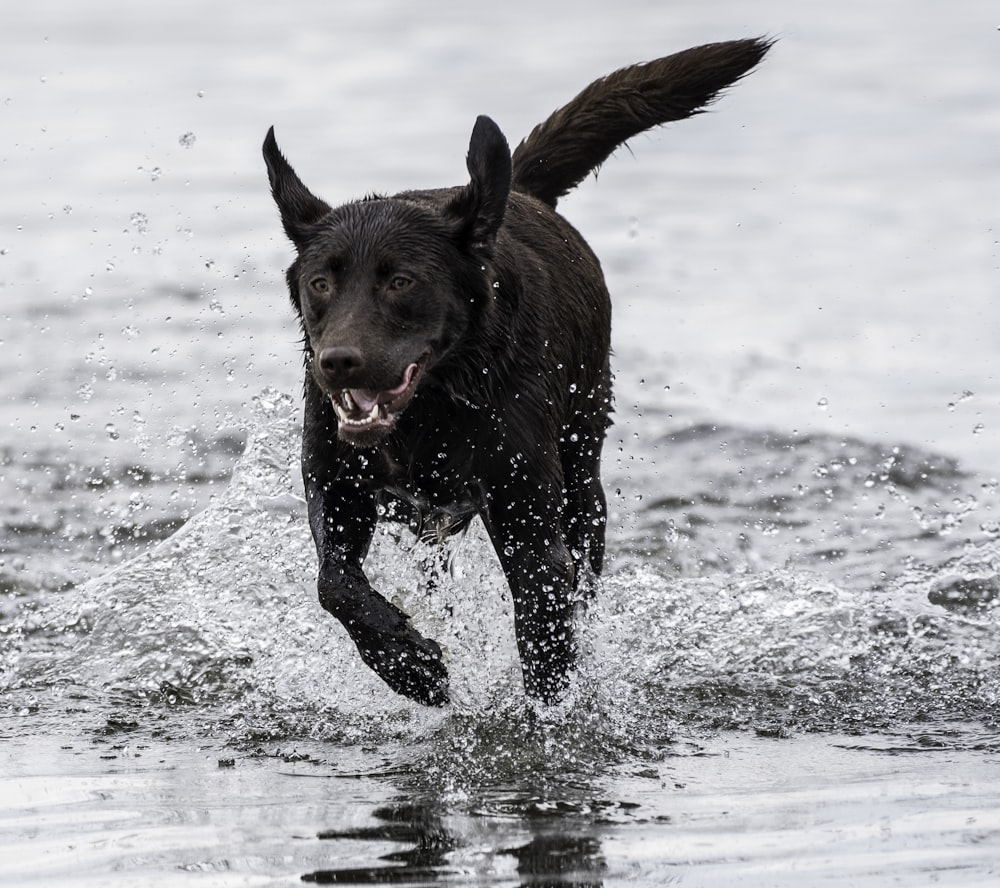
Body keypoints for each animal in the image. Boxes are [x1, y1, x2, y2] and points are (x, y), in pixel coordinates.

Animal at [262, 38, 768, 708]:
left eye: (401, 282)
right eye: (320, 283)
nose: (338, 362)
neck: (434, 406)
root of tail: (517, 192)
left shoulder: (531, 530)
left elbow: (546, 641)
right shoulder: (337, 484)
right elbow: (335, 584)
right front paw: (410, 665)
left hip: (582, 478)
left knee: (583, 569)